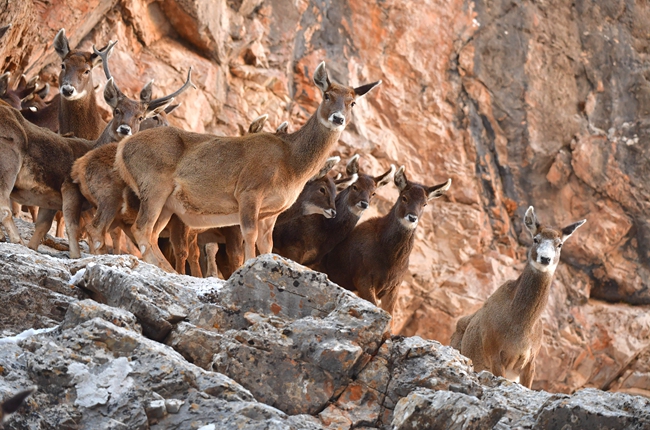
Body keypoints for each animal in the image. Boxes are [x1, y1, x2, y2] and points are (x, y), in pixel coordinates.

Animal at [114, 61, 380, 270]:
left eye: (352, 103)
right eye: (326, 95)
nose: (338, 118)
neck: (291, 165)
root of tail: (122, 149)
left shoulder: (271, 211)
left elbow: (266, 244)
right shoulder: (249, 191)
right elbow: (248, 237)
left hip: (168, 203)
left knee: (153, 233)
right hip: (154, 184)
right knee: (142, 228)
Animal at [322, 166, 448, 318]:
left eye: (425, 203)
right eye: (404, 197)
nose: (412, 217)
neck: (391, 262)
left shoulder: (394, 287)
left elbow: (391, 316)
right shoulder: (362, 278)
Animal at [448, 207, 584, 388]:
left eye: (559, 244)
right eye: (535, 239)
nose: (545, 258)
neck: (520, 328)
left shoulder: (531, 359)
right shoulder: (493, 352)